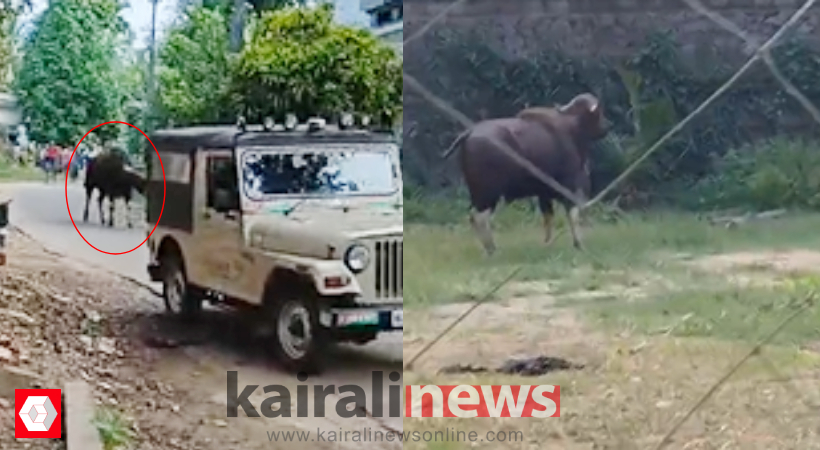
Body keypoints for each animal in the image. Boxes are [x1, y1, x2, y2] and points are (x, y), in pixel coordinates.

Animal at [442, 93, 608, 255]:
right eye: (598, 112)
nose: (606, 127)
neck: (572, 129)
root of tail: (470, 133)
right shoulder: (569, 186)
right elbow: (572, 215)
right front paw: (578, 244)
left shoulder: (544, 193)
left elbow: (548, 216)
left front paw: (548, 243)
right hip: (488, 193)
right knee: (479, 217)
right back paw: (492, 249)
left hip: (477, 193)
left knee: (473, 216)